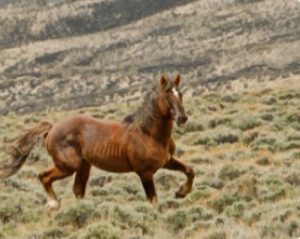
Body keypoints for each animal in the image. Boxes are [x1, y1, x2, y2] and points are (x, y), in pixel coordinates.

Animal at [0, 74, 195, 209]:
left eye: (180, 94)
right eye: (167, 96)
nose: (183, 118)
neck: (149, 134)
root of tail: (53, 128)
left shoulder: (167, 161)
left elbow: (189, 170)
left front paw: (181, 192)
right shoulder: (145, 173)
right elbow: (152, 200)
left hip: (84, 166)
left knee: (77, 190)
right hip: (69, 166)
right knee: (44, 176)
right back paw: (54, 204)